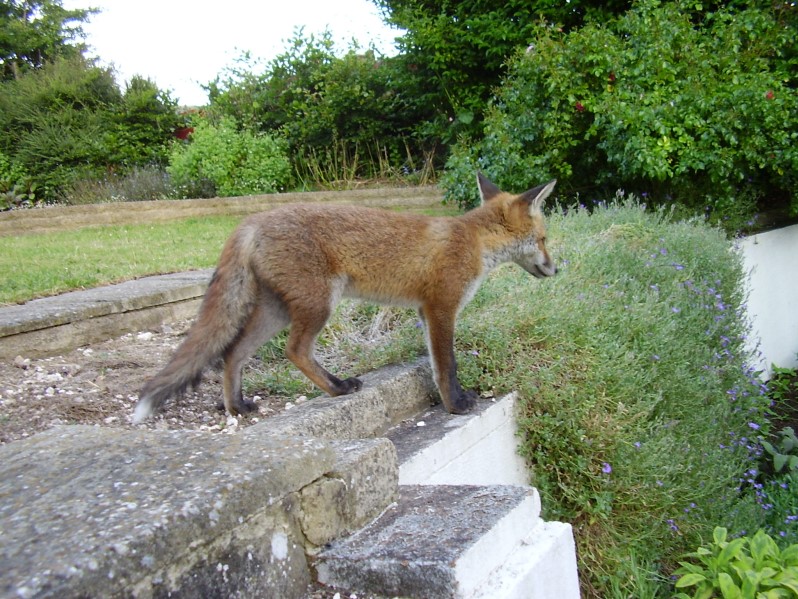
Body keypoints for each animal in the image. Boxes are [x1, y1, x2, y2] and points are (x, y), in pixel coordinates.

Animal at [133, 173, 556, 424]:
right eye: (544, 239)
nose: (557, 268)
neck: (474, 242)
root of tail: (251, 222)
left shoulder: (424, 312)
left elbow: (438, 363)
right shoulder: (441, 308)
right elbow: (446, 366)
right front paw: (456, 405)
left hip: (276, 311)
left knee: (233, 353)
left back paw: (237, 406)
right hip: (319, 304)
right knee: (294, 351)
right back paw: (337, 388)